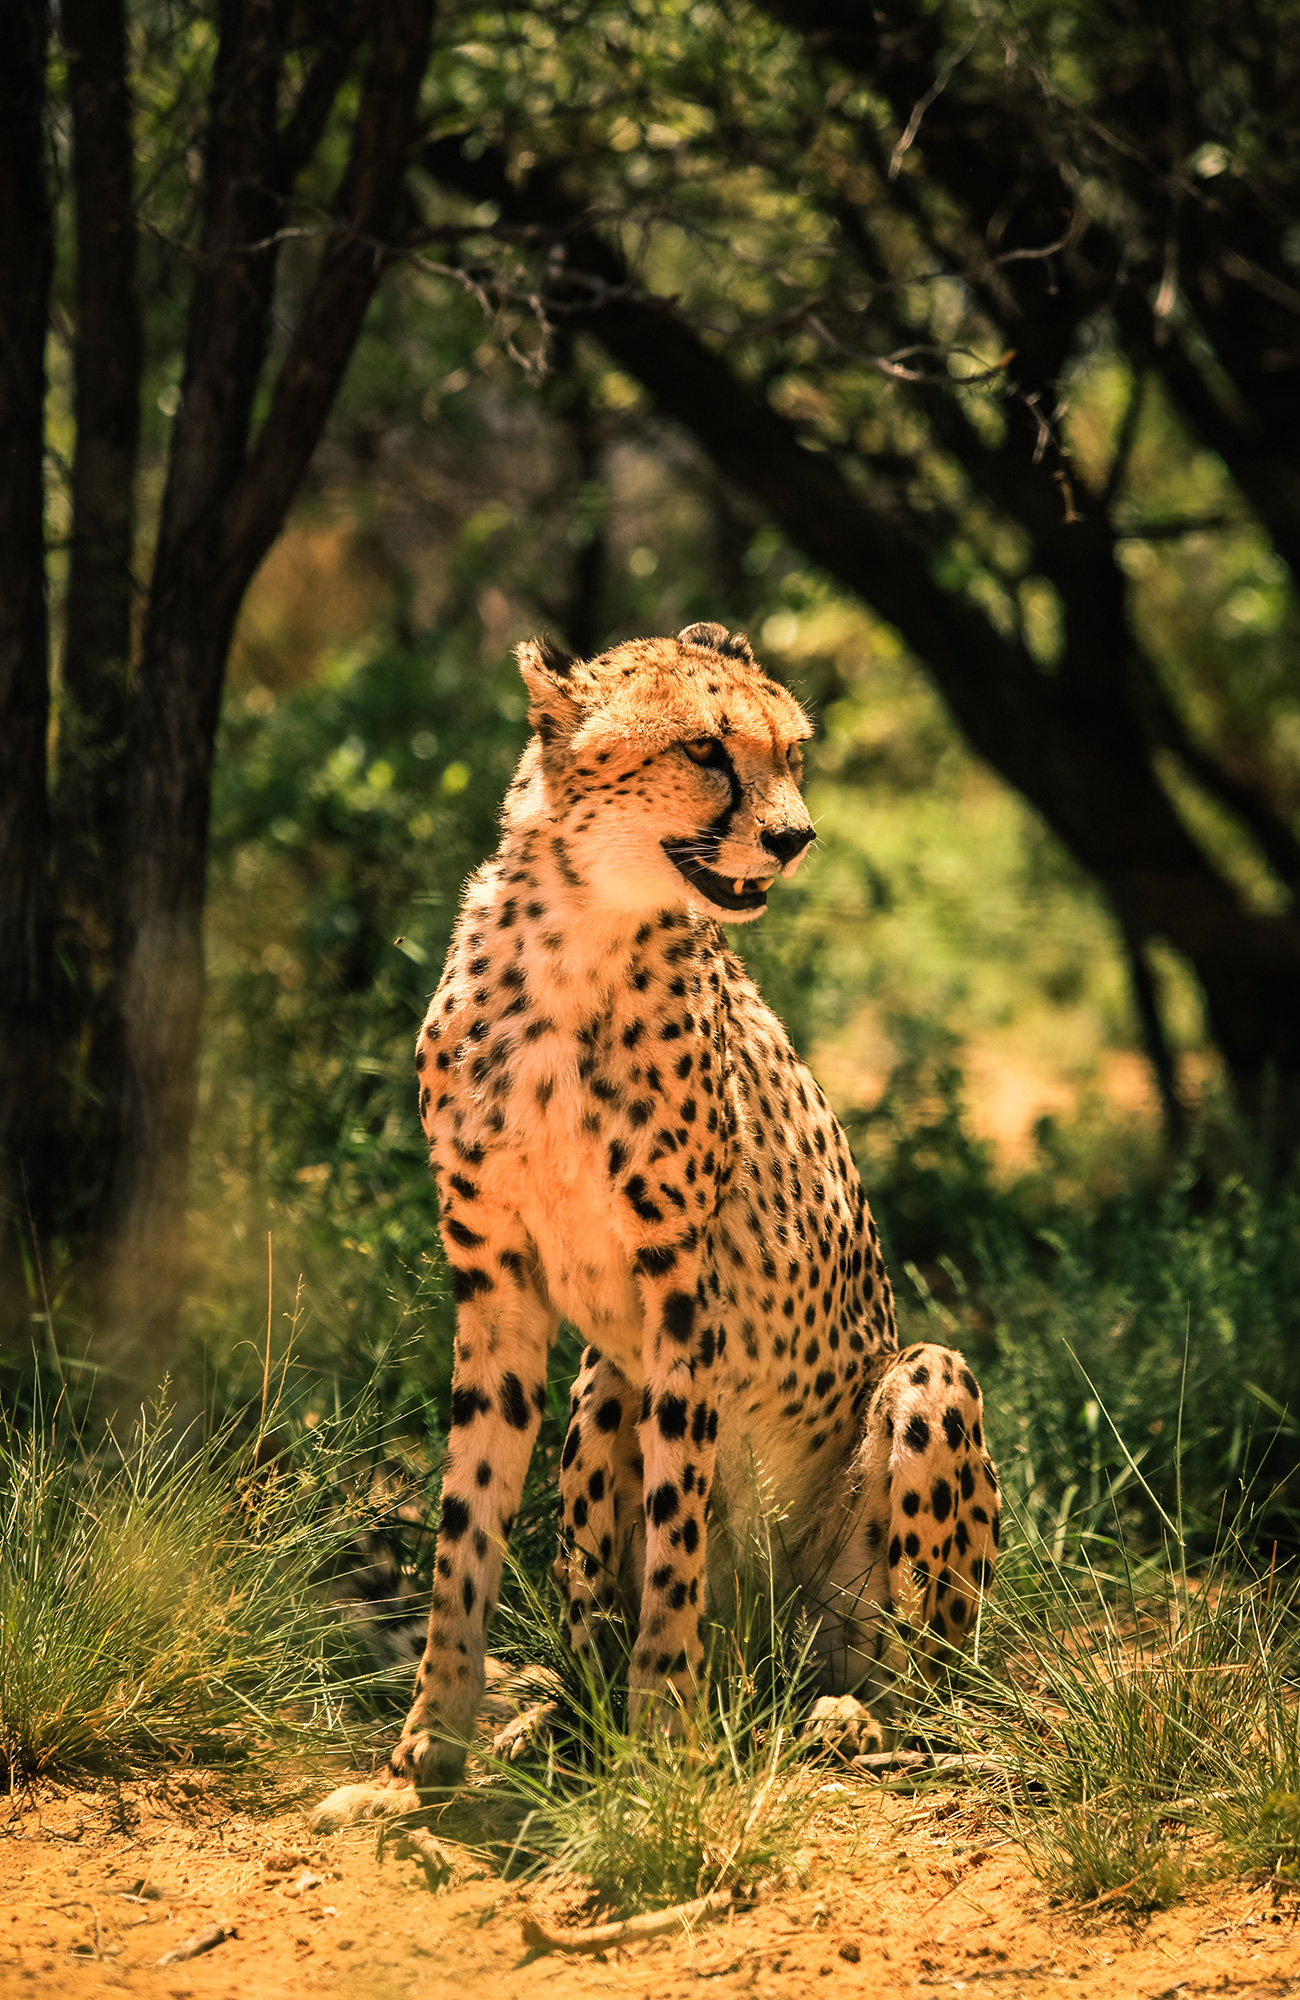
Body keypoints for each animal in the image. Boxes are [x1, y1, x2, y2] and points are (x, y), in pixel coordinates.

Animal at [312, 622, 999, 1832]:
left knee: (922, 1672)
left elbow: (676, 1535)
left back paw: (855, 1717)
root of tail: (766, 1653)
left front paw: (664, 1750)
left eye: (792, 752)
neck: (575, 938)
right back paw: (563, 1725)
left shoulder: (684, 1294)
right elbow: (464, 1529)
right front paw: (420, 1760)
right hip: (601, 1385)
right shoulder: (497, 1286)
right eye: (704, 749)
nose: (795, 836)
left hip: (921, 1390)